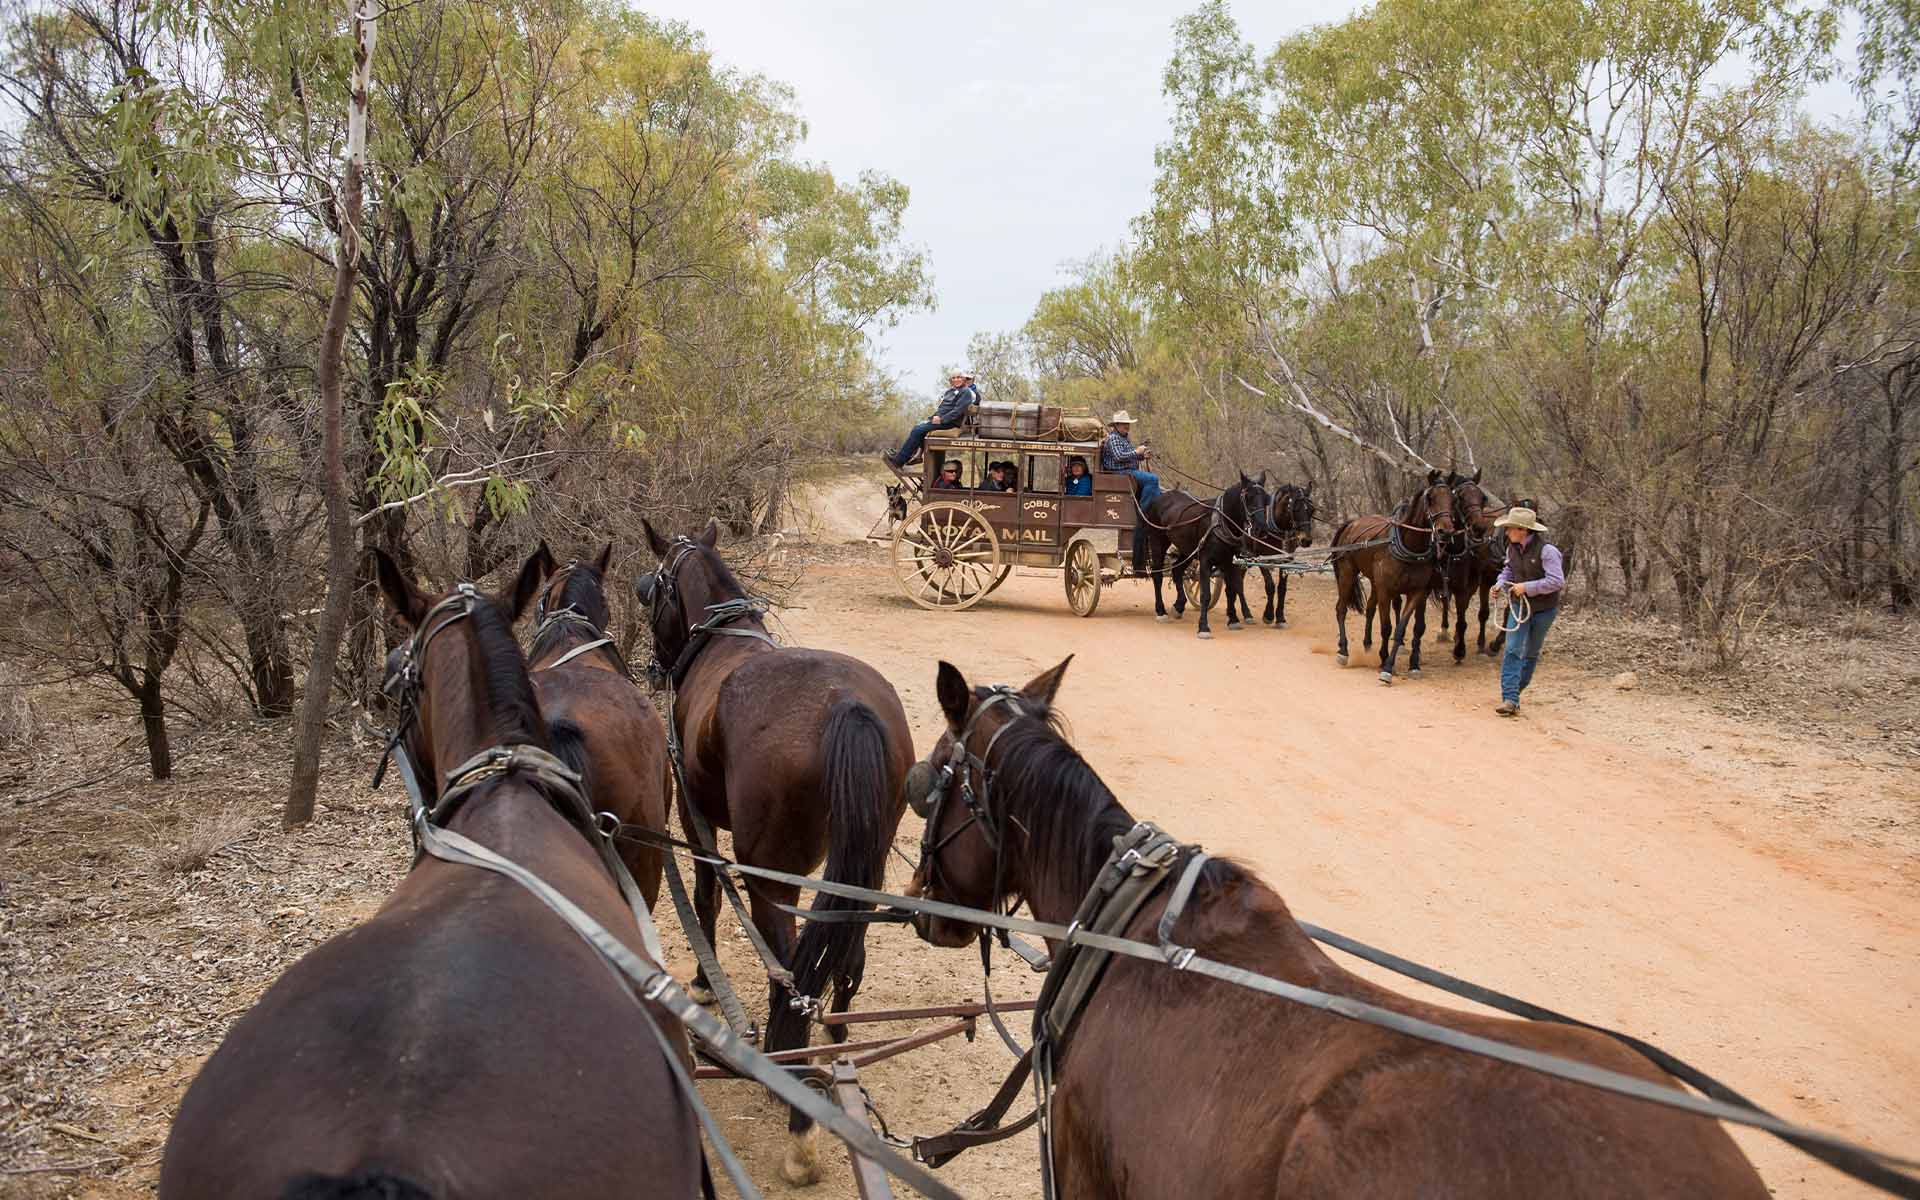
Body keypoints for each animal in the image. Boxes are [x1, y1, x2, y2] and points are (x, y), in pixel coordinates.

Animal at [633, 514, 910, 1182]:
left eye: (652, 589)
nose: (656, 664)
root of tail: (846, 704)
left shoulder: (695, 819)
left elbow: (706, 898)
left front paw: (704, 982)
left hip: (771, 877)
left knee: (788, 967)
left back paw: (795, 1097)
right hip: (862, 868)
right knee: (847, 953)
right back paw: (834, 1041)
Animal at [1336, 470, 1451, 683]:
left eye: (1452, 499)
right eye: (1430, 498)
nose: (1445, 531)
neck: (1408, 545)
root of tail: (1351, 523)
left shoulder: (1417, 592)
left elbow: (1400, 629)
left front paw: (1395, 665)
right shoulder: (1386, 591)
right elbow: (1386, 627)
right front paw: (1384, 661)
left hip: (1373, 581)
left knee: (1370, 608)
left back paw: (1367, 645)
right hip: (1347, 573)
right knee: (1341, 609)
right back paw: (1343, 650)